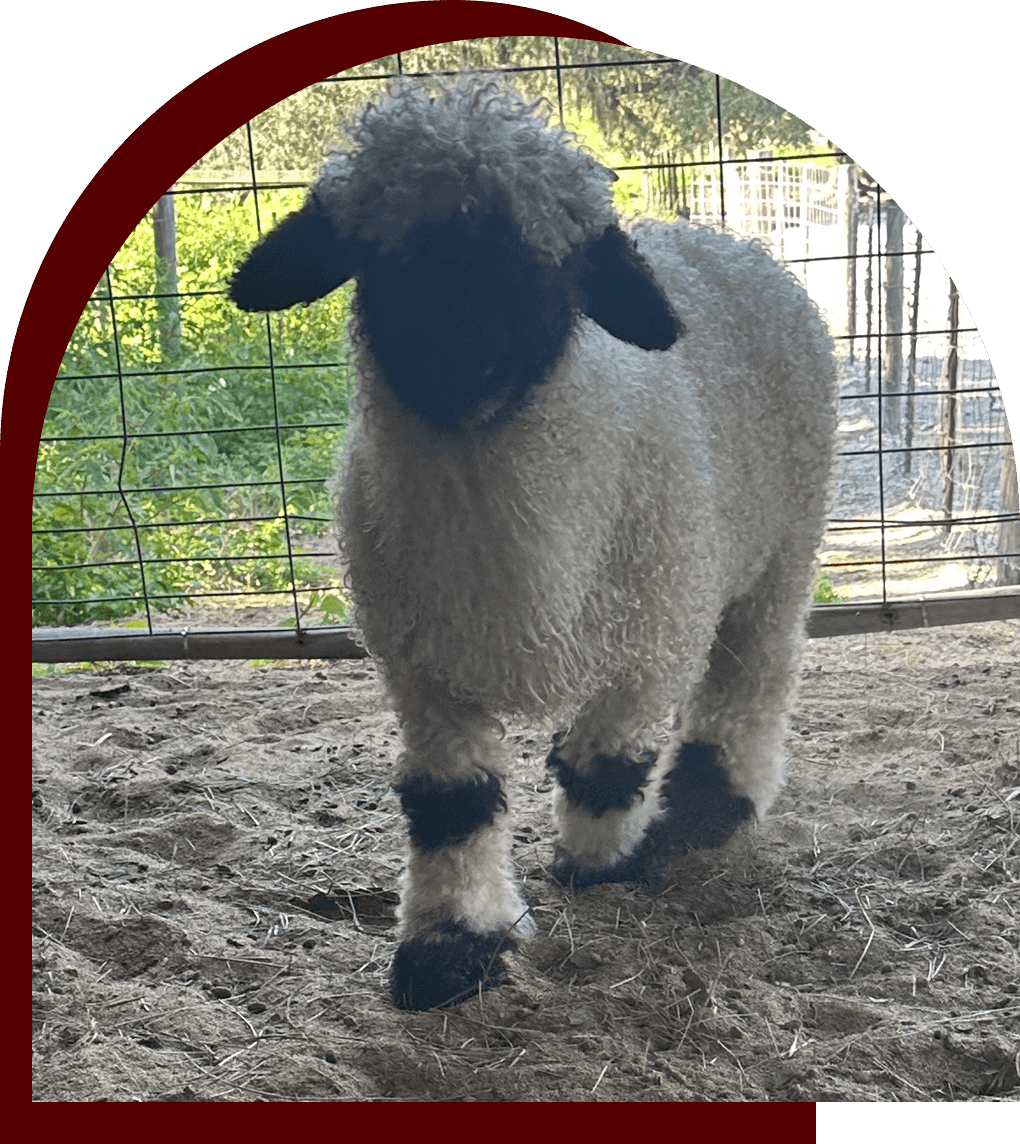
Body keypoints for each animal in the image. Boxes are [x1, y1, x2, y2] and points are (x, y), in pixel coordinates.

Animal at [230, 75, 838, 1011]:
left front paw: (600, 862)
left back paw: (711, 804)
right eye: (382, 253)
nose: (463, 363)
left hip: (781, 547)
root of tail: (722, 238)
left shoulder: (649, 642)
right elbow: (453, 804)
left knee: (754, 671)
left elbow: (608, 764)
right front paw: (451, 948)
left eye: (553, 261)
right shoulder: (423, 672)